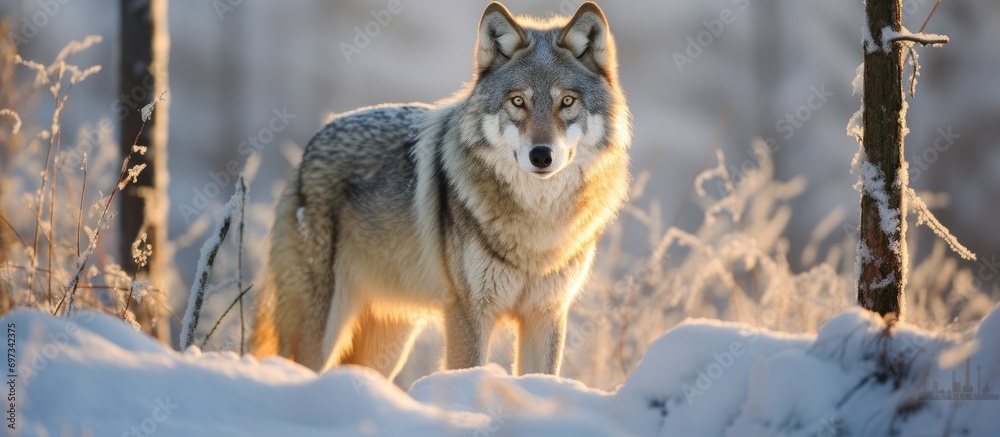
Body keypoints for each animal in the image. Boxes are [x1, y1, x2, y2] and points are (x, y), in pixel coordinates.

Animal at [251, 2, 631, 380]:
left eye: (566, 101)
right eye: (517, 101)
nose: (541, 155)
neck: (538, 222)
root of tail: (310, 148)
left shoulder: (547, 314)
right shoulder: (467, 313)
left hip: (391, 339)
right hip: (321, 331)